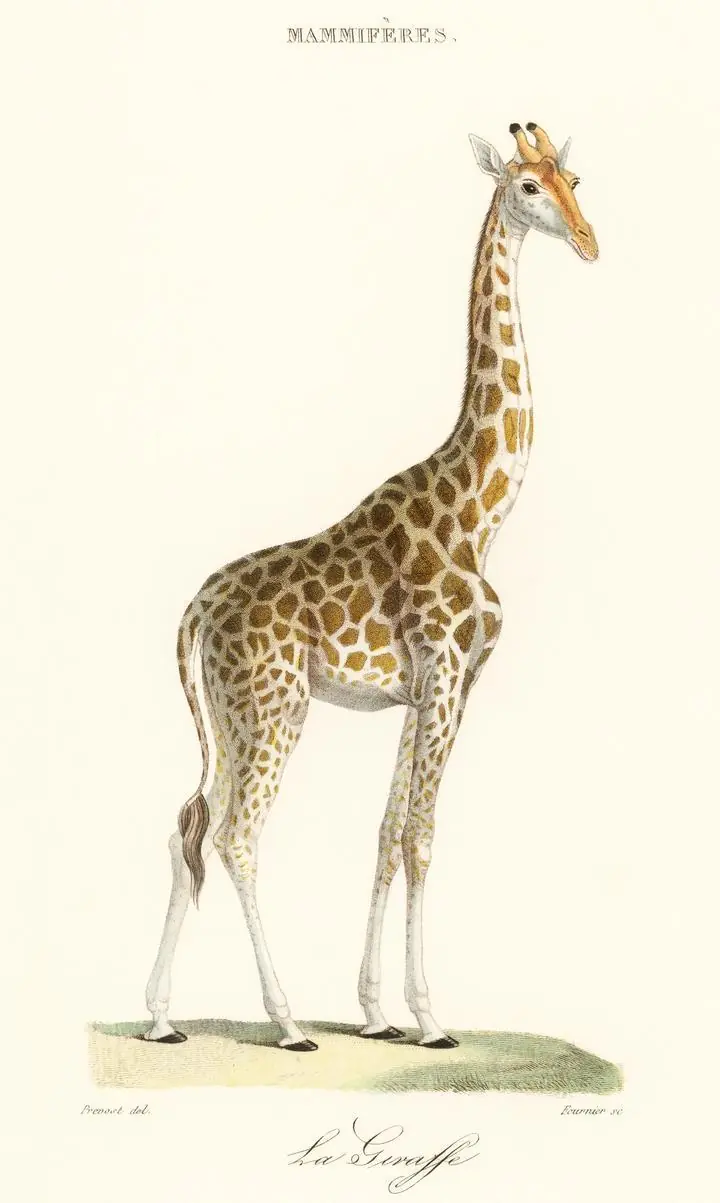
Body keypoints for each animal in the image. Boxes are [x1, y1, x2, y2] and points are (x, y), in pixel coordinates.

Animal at [144, 122, 598, 1051]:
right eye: (527, 188)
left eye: (576, 180)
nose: (588, 240)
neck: (480, 510)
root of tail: (197, 607)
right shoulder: (449, 676)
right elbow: (420, 835)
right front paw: (429, 1018)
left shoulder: (427, 689)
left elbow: (387, 832)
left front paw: (379, 1011)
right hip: (277, 706)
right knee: (237, 836)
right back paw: (285, 1021)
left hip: (231, 711)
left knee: (189, 827)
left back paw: (162, 1017)